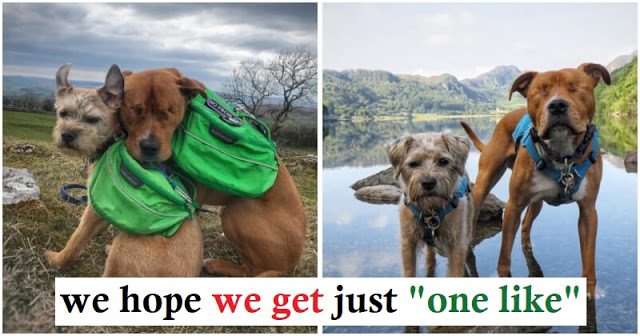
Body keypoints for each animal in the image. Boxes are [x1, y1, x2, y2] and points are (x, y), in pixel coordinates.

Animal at [118, 67, 308, 276]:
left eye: (169, 111)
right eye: (135, 109)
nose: (149, 147)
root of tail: (293, 264)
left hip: (236, 211)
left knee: (252, 271)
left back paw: (217, 264)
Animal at [460, 62, 608, 296]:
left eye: (575, 87)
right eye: (540, 91)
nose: (557, 105)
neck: (563, 157)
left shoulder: (588, 212)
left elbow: (589, 259)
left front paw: (590, 290)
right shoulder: (513, 206)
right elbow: (504, 257)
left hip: (536, 202)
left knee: (527, 224)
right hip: (483, 184)